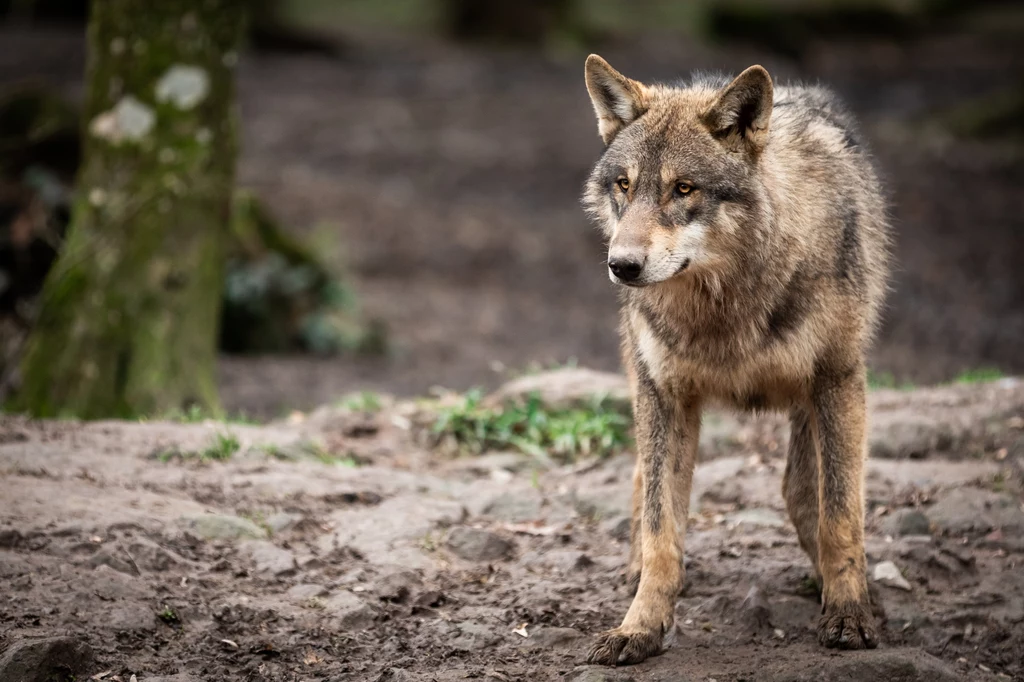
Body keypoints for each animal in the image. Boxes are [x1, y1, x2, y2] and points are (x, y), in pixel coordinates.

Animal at [581, 55, 892, 659]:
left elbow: (841, 515)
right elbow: (661, 529)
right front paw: (640, 627)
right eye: (624, 185)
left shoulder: (838, 379)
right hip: (644, 386)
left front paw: (849, 614)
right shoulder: (665, 395)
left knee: (802, 493)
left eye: (683, 188)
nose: (622, 266)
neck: (723, 305)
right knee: (641, 480)